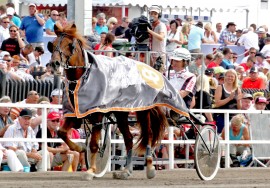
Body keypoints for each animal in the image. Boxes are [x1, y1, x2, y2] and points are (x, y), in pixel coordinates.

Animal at [47, 23, 168, 179]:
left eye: (69, 45)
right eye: (53, 44)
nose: (55, 63)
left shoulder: (98, 115)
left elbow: (94, 144)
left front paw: (91, 170)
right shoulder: (74, 114)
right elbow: (61, 132)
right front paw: (80, 147)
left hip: (142, 111)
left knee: (148, 135)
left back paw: (149, 166)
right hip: (121, 114)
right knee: (129, 139)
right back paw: (126, 170)